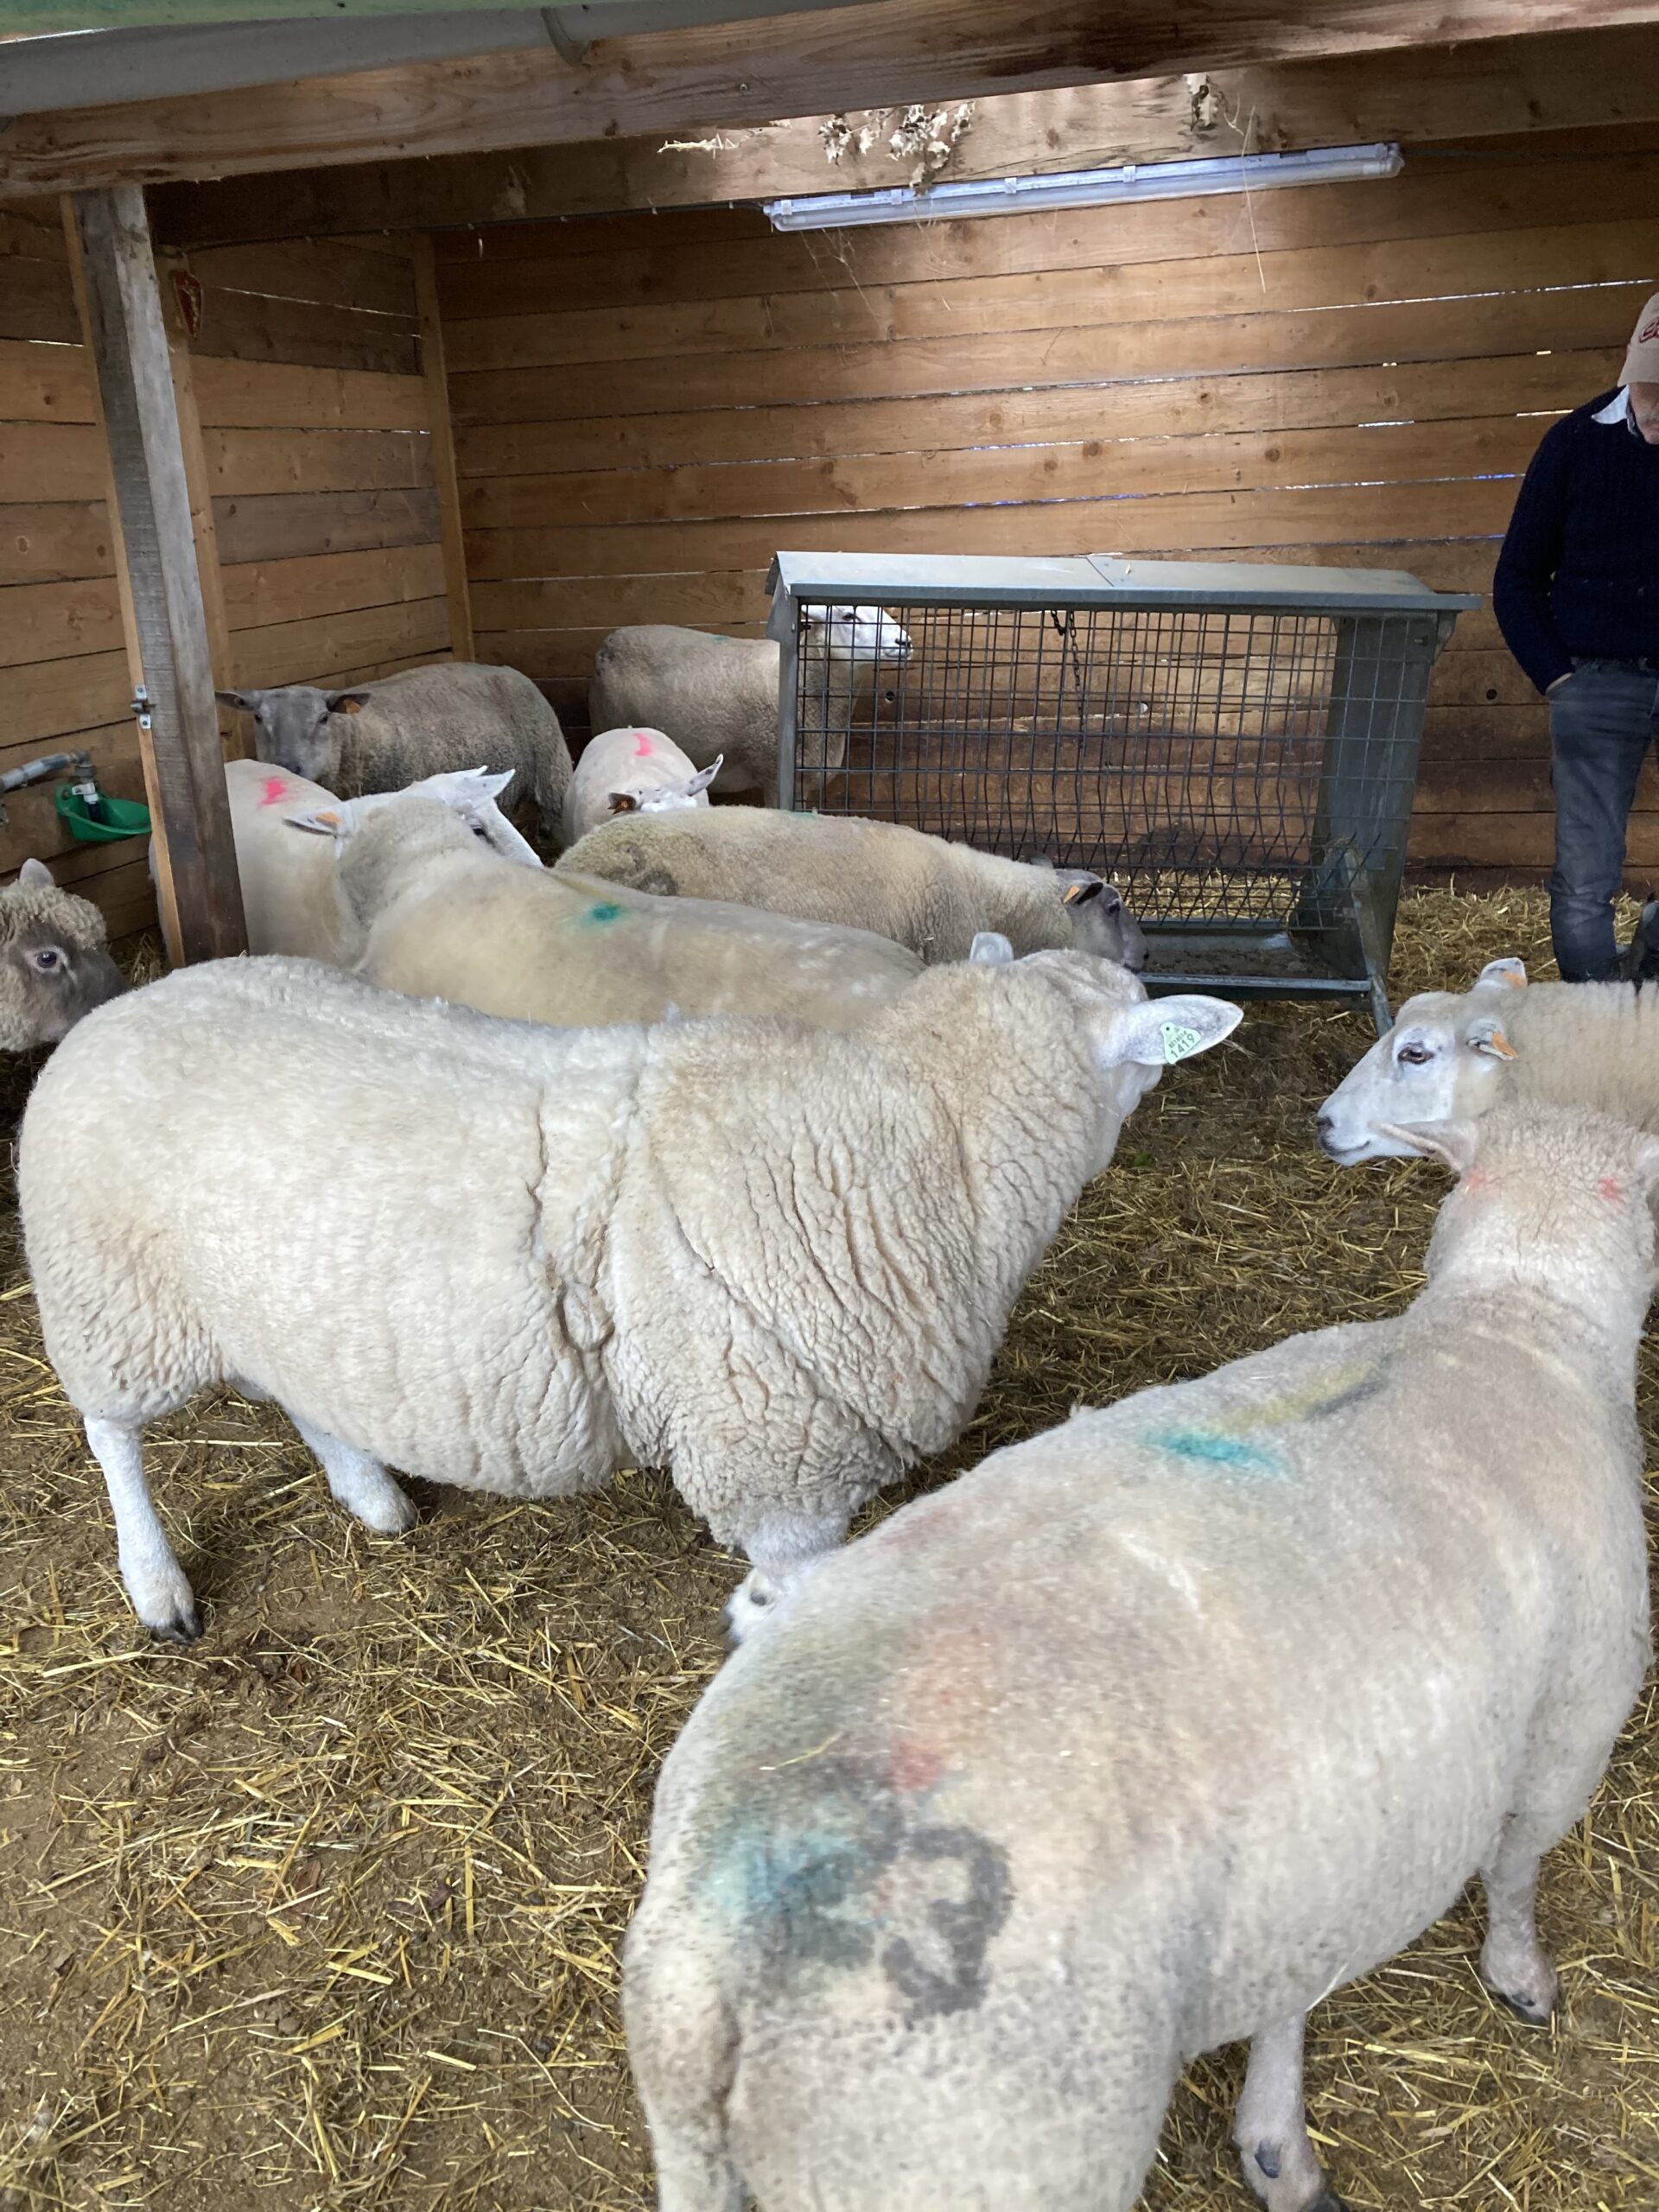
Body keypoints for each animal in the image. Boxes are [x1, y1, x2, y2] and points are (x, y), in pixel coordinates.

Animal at [19, 941, 1240, 1644]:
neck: (922, 1134)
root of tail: (120, 1007)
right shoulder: (779, 1455)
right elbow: (803, 1585)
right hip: (111, 1296)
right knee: (110, 1433)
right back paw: (156, 1586)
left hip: (273, 1304)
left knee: (302, 1393)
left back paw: (371, 1492)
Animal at [215, 661, 573, 845]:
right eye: (258, 718)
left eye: (323, 718)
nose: (289, 766)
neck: (355, 740)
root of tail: (507, 668)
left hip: (553, 777)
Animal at [622, 1102, 1655, 2212]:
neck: (1515, 1313)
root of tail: (725, 1968)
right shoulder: (1572, 1726)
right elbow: (1517, 1868)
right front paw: (1521, 1977)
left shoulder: (1319, 1850)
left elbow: (1293, 1990)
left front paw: (1276, 2142)